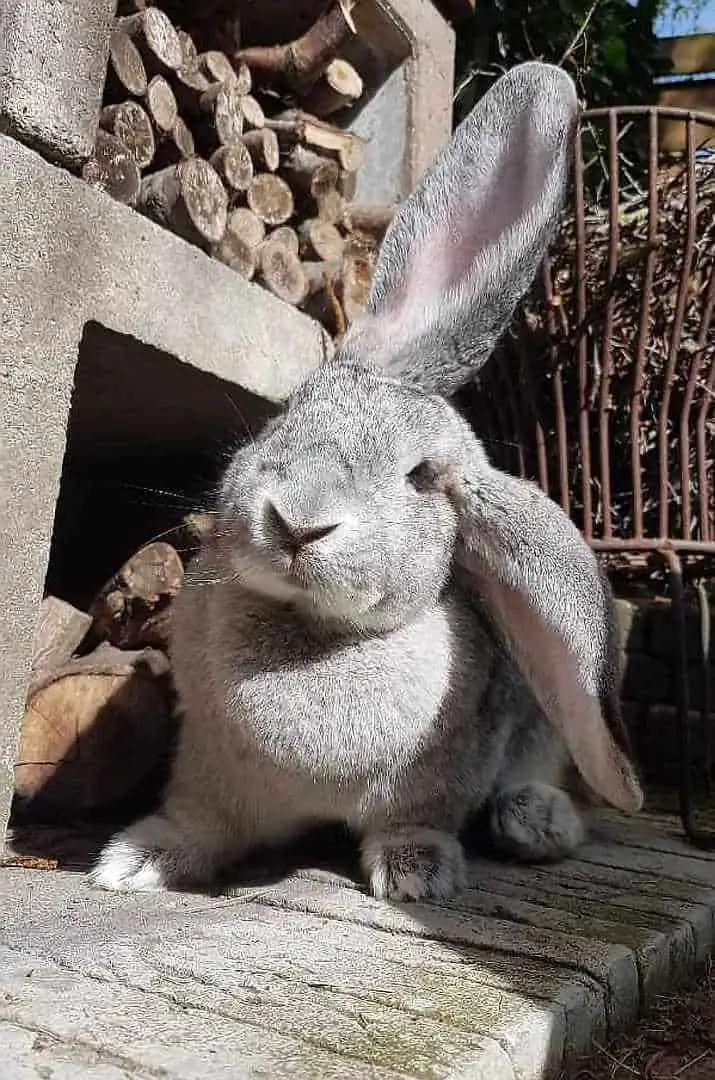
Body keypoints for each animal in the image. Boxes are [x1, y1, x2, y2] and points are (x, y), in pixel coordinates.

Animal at [89, 61, 643, 902]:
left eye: (421, 477)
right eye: (289, 411)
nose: (297, 521)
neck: (313, 632)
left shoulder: (438, 777)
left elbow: (414, 821)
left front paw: (419, 876)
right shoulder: (206, 772)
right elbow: (197, 823)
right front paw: (134, 861)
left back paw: (531, 821)